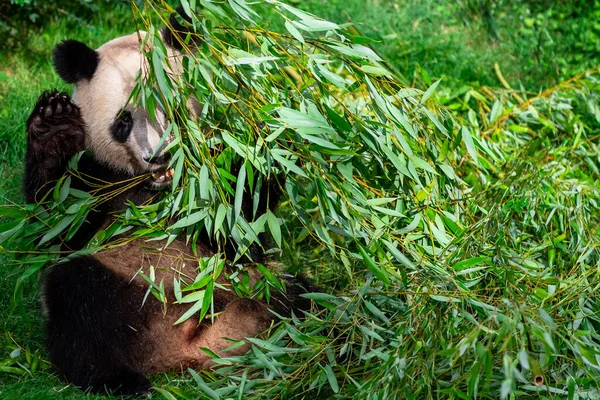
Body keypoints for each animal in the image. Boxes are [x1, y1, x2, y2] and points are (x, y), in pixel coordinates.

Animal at [23, 8, 314, 396]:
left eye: (171, 107)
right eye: (123, 120)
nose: (158, 155)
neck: (155, 189)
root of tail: (185, 350)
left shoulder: (211, 181)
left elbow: (244, 229)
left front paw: (267, 128)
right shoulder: (96, 179)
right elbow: (54, 224)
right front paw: (53, 124)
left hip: (252, 284)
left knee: (300, 296)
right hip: (125, 284)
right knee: (76, 300)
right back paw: (122, 381)